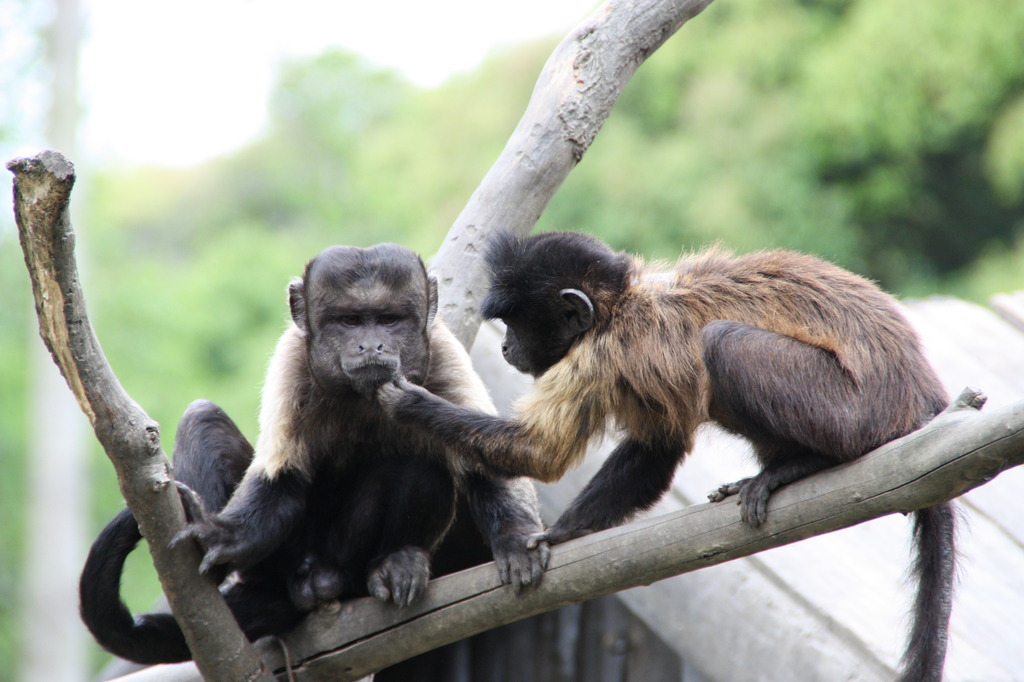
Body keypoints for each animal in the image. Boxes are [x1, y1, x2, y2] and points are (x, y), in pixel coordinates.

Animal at [77, 244, 552, 663]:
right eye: (349, 321)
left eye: (388, 320)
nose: (371, 345)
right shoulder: (291, 359)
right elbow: (281, 480)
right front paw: (221, 536)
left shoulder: (444, 353)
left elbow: (485, 465)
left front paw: (515, 541)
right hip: (283, 557)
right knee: (202, 416)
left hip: (340, 554)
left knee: (419, 466)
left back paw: (391, 563)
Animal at [380, 229, 954, 679]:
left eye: (518, 327)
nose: (503, 348)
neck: (622, 306)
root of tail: (921, 397)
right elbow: (656, 449)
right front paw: (567, 532)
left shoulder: (605, 351)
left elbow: (541, 453)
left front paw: (409, 403)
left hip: (851, 409)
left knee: (722, 343)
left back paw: (805, 464)